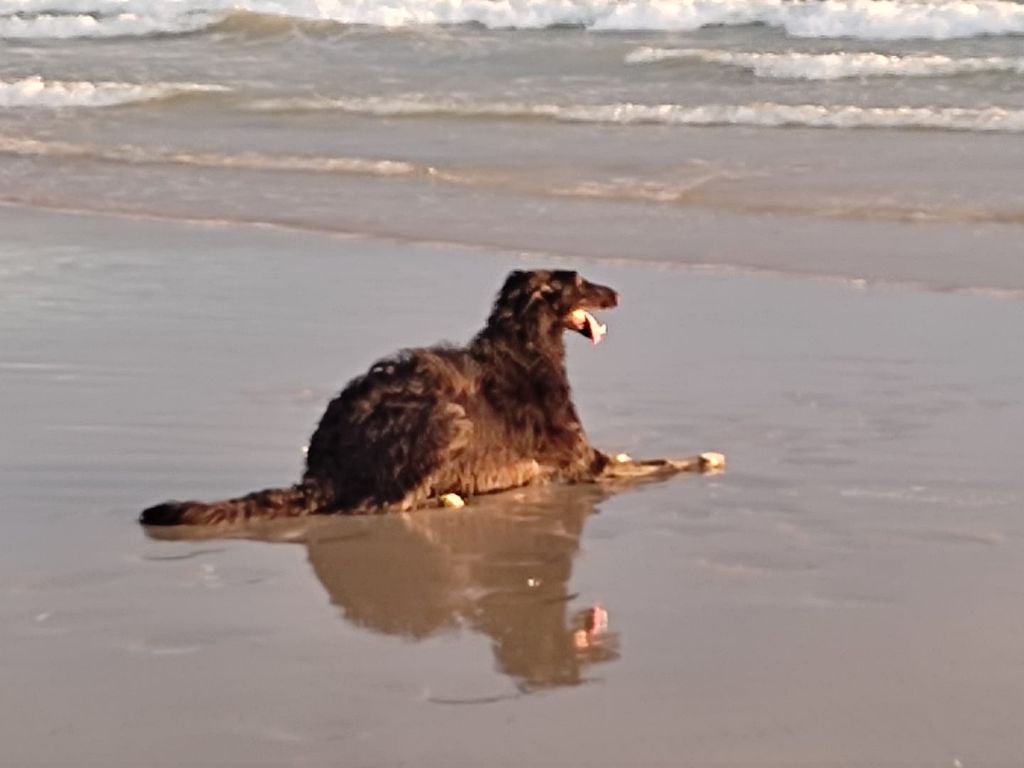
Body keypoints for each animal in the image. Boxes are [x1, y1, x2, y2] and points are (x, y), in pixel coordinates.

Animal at [140, 269, 717, 527]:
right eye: (578, 281)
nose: (617, 293)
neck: (526, 347)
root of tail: (323, 471)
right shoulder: (588, 464)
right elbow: (663, 462)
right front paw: (705, 457)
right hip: (448, 417)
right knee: (383, 505)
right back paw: (448, 497)